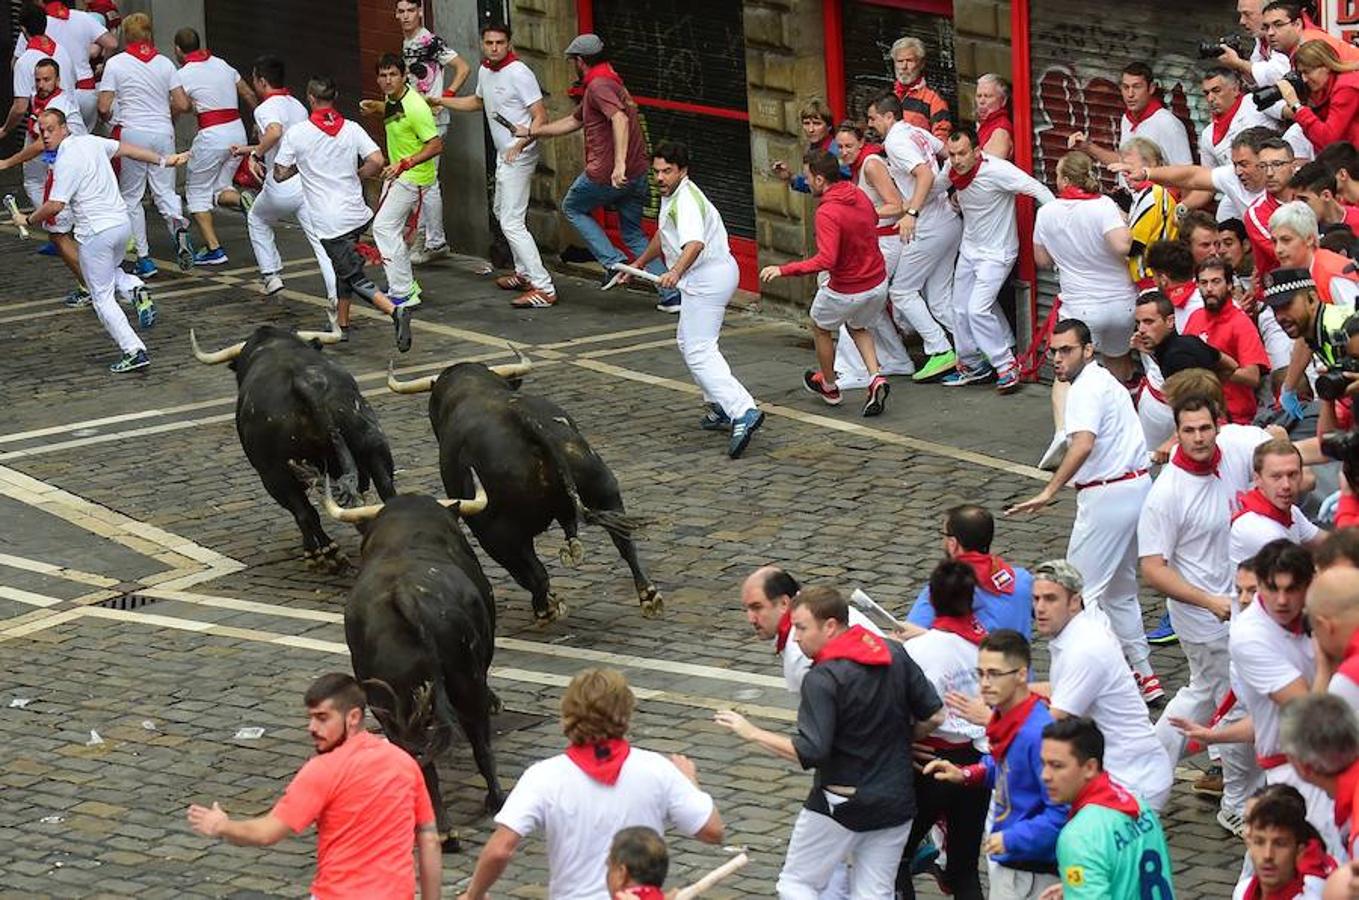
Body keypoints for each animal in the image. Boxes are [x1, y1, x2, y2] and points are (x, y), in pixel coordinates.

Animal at [188, 320, 396, 568]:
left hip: (274, 475)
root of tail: (304, 385)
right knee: (386, 489)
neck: (274, 345)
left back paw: (324, 552)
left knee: (304, 512)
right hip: (374, 442)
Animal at [323, 475, 505, 848]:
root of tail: (404, 594)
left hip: (387, 703)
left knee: (415, 754)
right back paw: (489, 803)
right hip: (467, 680)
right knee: (479, 740)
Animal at [385, 356, 660, 625]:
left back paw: (545, 608)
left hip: (496, 532)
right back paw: (648, 595)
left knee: (533, 572)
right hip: (604, 488)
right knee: (624, 542)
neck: (473, 389)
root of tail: (526, 422)